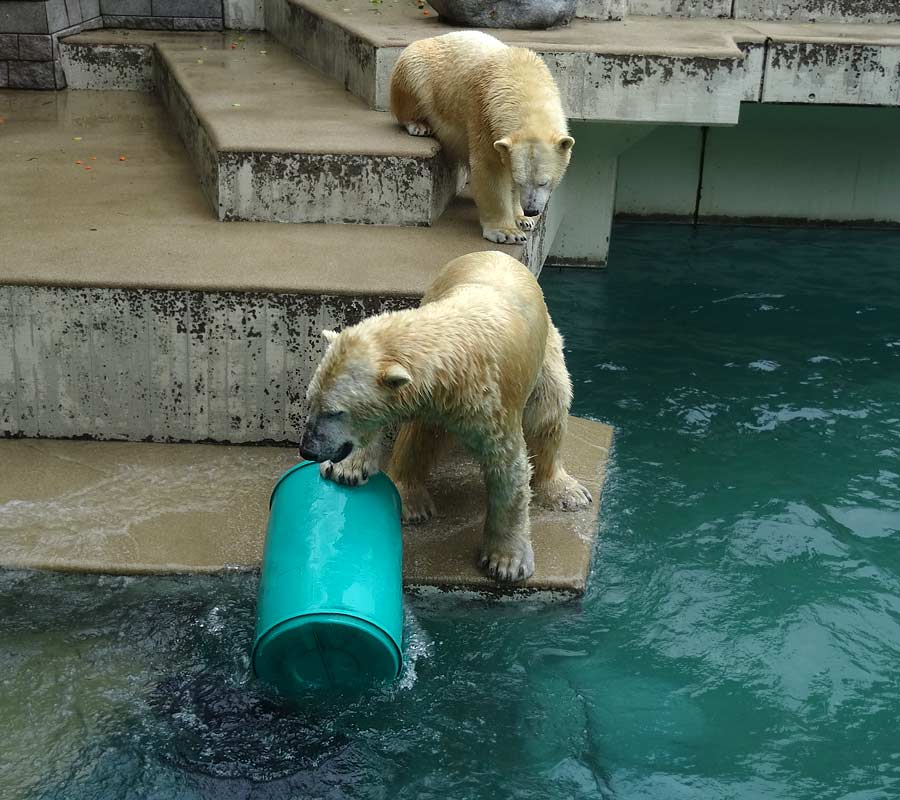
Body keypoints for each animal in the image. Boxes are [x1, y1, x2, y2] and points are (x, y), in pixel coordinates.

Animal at [298, 250, 592, 580]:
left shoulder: (492, 403)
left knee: (548, 411)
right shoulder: (435, 394)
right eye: (309, 401)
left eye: (334, 412)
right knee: (422, 436)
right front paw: (346, 469)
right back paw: (411, 500)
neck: (454, 340)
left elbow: (509, 469)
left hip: (548, 355)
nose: (307, 449)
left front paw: (506, 562)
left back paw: (566, 491)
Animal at [390, 30, 572, 247]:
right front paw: (507, 232)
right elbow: (490, 168)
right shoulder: (484, 113)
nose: (531, 210)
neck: (522, 77)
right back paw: (418, 125)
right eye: (521, 181)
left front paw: (522, 219)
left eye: (543, 182)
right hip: (419, 70)